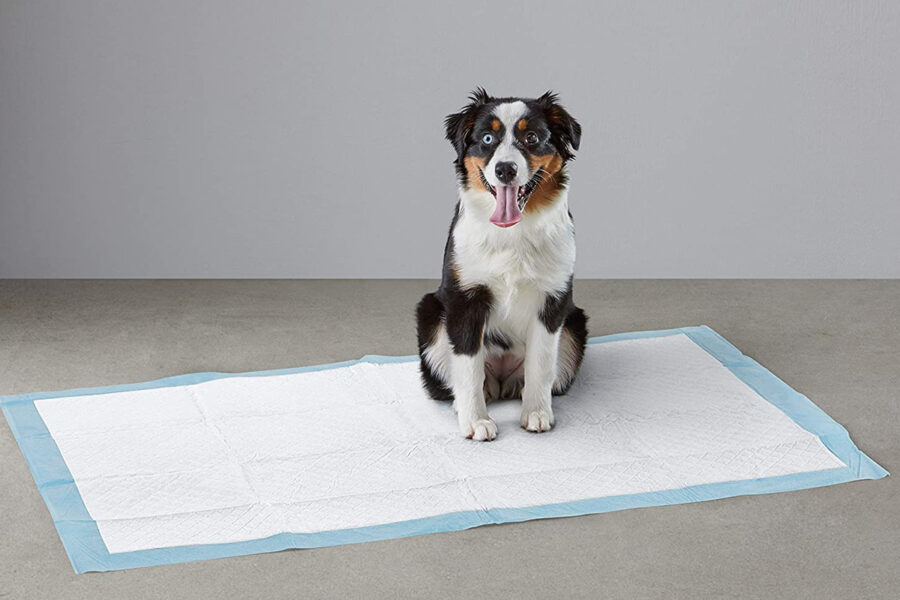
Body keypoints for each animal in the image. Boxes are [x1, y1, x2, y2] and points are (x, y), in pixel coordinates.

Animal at [416, 88, 588, 440]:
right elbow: (468, 367)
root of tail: (501, 381)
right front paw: (475, 421)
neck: (513, 234)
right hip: (431, 314)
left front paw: (536, 413)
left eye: (532, 137)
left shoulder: (553, 299)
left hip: (575, 324)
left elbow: (541, 364)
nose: (505, 169)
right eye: (487, 138)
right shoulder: (465, 298)